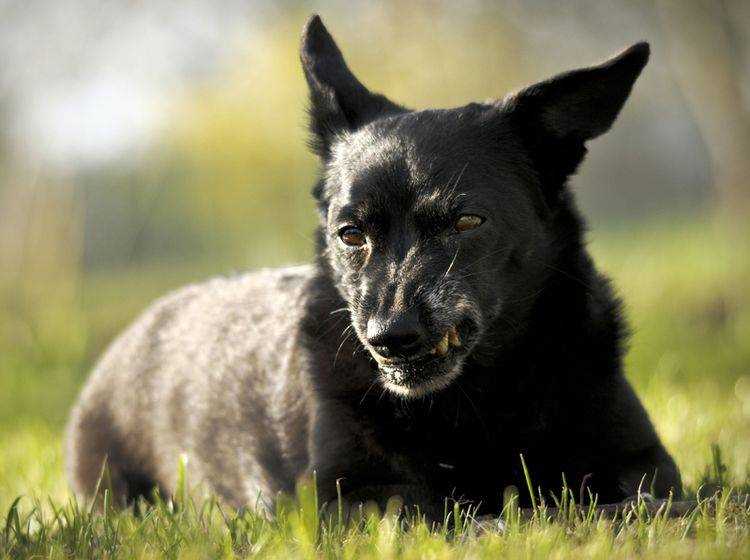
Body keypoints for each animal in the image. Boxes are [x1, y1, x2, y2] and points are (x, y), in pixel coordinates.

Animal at [67, 15, 684, 520]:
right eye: (351, 234)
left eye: (467, 221)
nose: (390, 337)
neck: (476, 397)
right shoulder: (351, 497)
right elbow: (464, 517)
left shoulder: (644, 460)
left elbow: (649, 499)